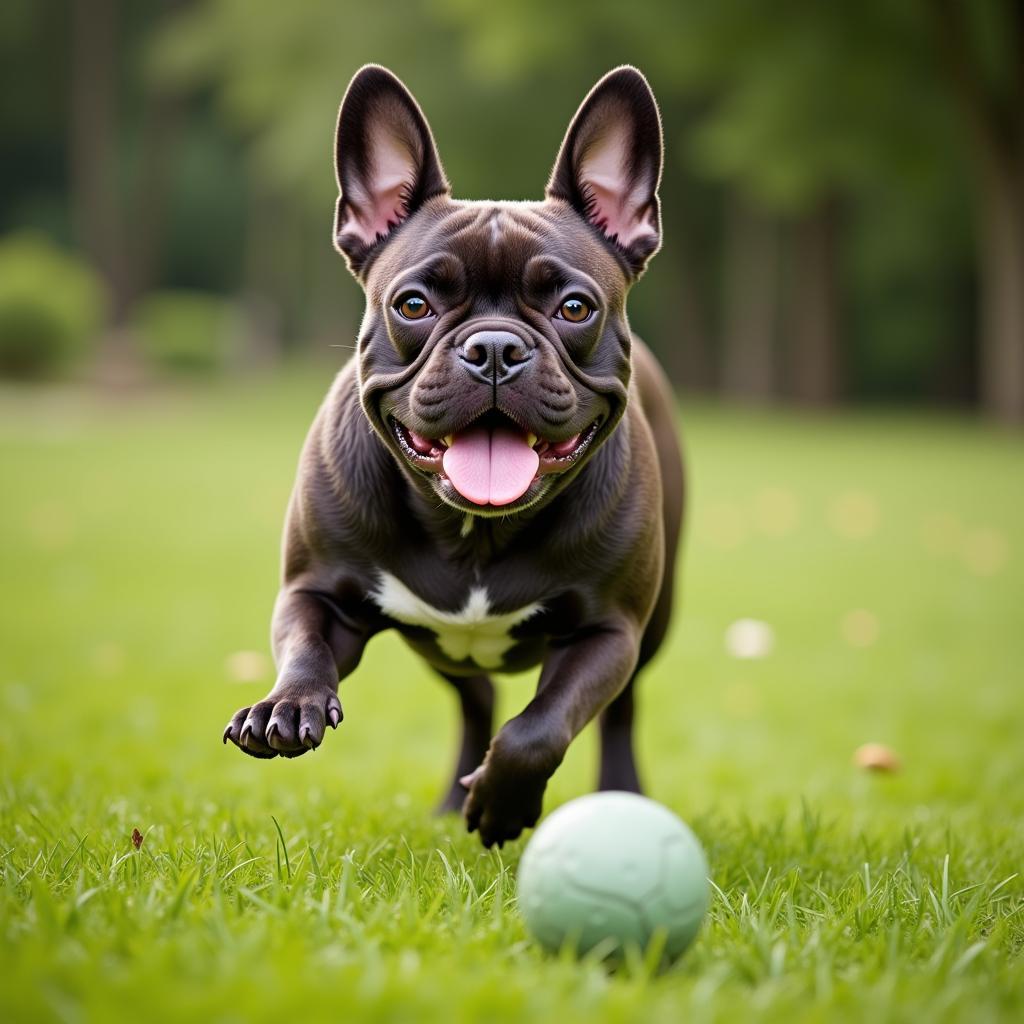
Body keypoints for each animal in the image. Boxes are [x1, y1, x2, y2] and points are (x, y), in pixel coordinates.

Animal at [225, 64, 688, 847]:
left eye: (574, 308)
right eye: (413, 305)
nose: (494, 347)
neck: (475, 531)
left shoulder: (607, 632)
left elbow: (541, 727)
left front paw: (503, 803)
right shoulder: (316, 592)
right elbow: (305, 646)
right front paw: (286, 706)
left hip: (653, 626)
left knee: (619, 710)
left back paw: (619, 797)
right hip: (438, 648)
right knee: (474, 698)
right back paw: (449, 798)